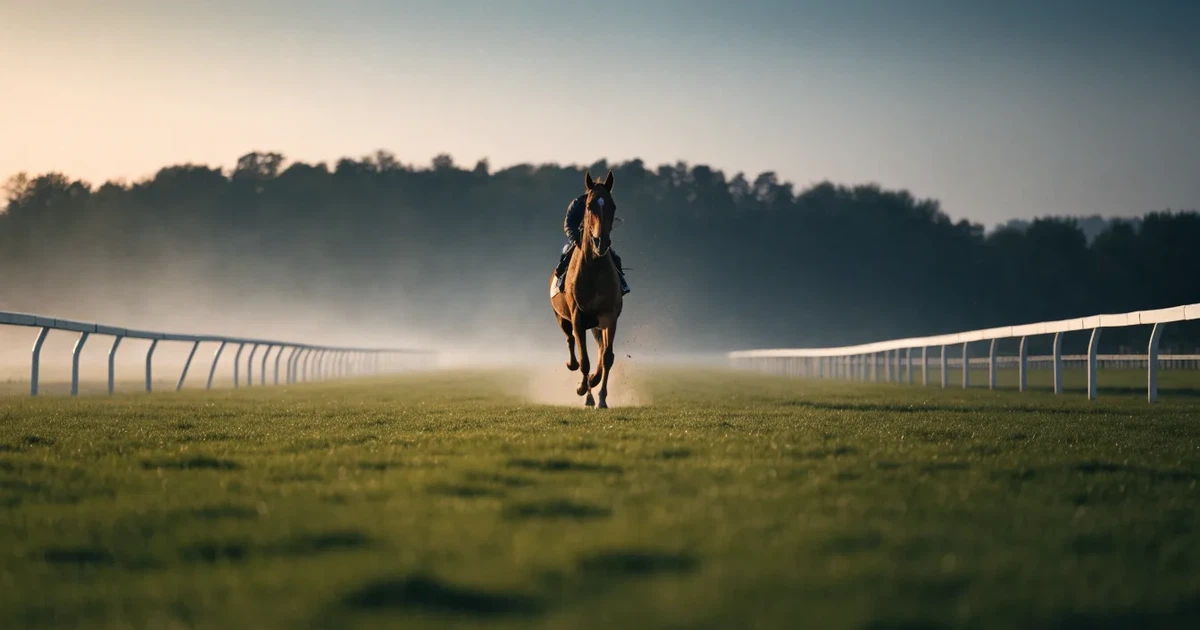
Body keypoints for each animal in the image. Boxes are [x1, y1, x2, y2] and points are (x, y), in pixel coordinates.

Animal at [550, 169, 623, 408]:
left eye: (612, 205)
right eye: (589, 206)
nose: (601, 242)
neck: (593, 269)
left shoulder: (609, 315)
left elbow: (607, 357)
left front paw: (601, 397)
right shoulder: (578, 317)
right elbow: (584, 360)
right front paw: (586, 393)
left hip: (597, 323)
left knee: (600, 348)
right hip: (561, 317)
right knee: (570, 340)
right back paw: (574, 369)